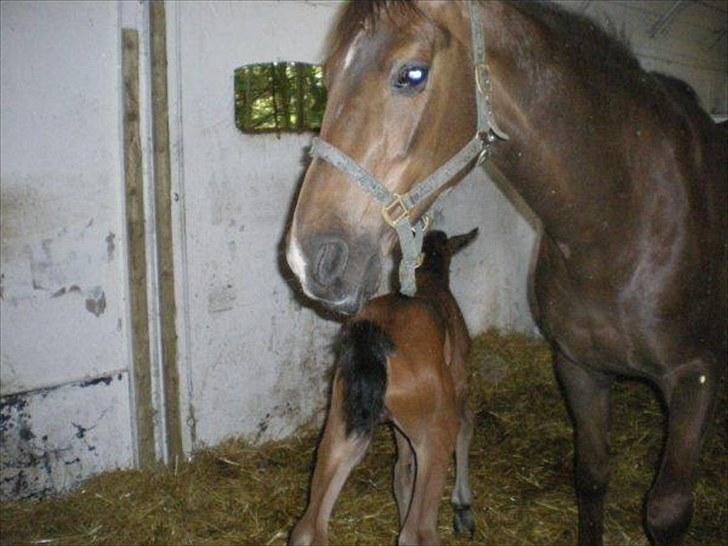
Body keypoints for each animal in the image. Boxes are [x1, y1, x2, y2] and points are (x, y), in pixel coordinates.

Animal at [290, 227, 478, 540]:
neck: (428, 277)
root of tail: (373, 342)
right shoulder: (460, 381)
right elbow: (467, 425)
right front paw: (463, 507)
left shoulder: (399, 427)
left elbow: (401, 471)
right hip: (435, 429)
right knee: (417, 532)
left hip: (342, 426)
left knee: (307, 527)